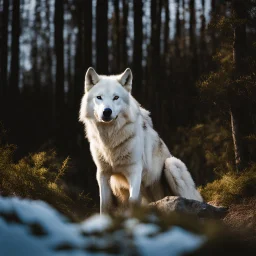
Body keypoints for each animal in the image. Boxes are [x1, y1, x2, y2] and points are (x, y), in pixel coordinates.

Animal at [79, 67, 203, 213]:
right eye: (99, 97)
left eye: (116, 97)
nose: (107, 111)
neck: (110, 140)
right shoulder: (103, 173)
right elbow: (104, 206)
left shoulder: (134, 171)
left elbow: (133, 201)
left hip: (172, 164)